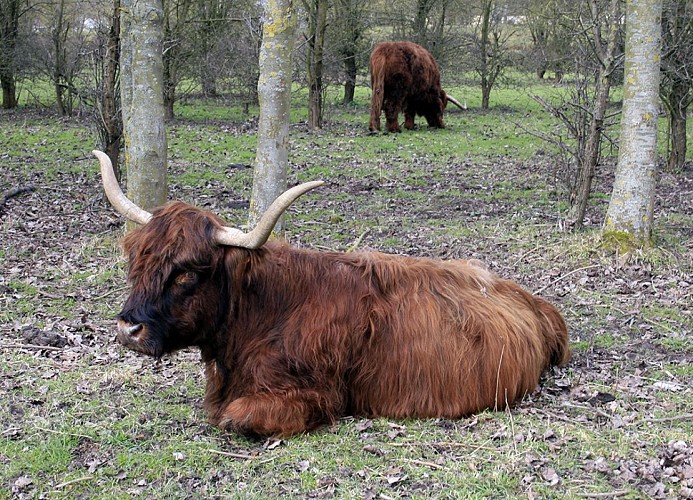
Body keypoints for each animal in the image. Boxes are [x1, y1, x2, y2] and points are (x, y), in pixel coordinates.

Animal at [98, 149, 572, 438]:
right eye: (137, 263)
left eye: (187, 274)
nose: (128, 328)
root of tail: (536, 303)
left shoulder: (314, 395)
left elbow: (233, 419)